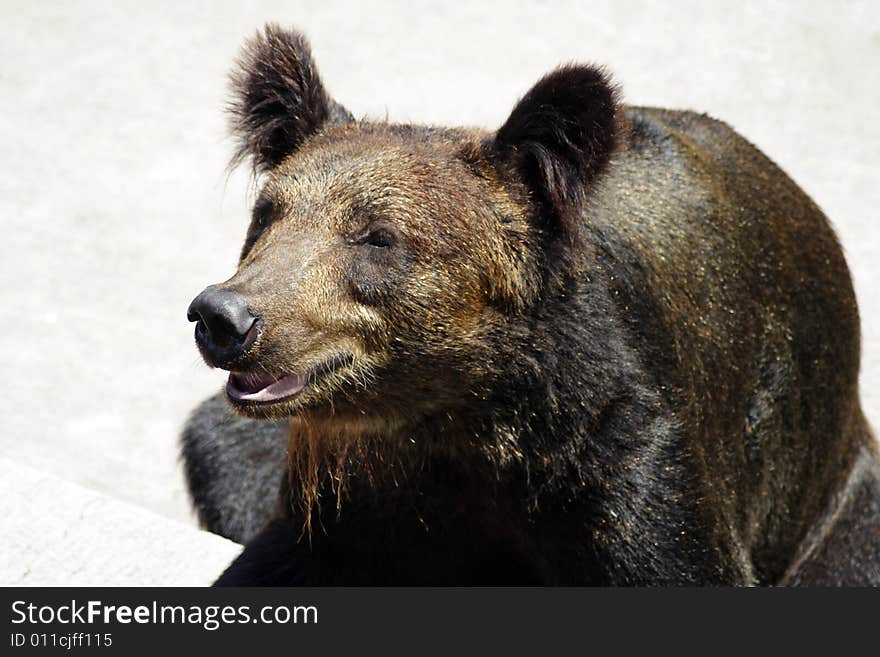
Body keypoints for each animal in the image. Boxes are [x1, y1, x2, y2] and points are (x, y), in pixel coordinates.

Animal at [180, 24, 880, 584]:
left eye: (376, 236)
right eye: (267, 214)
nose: (224, 316)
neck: (461, 413)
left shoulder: (625, 469)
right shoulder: (349, 490)